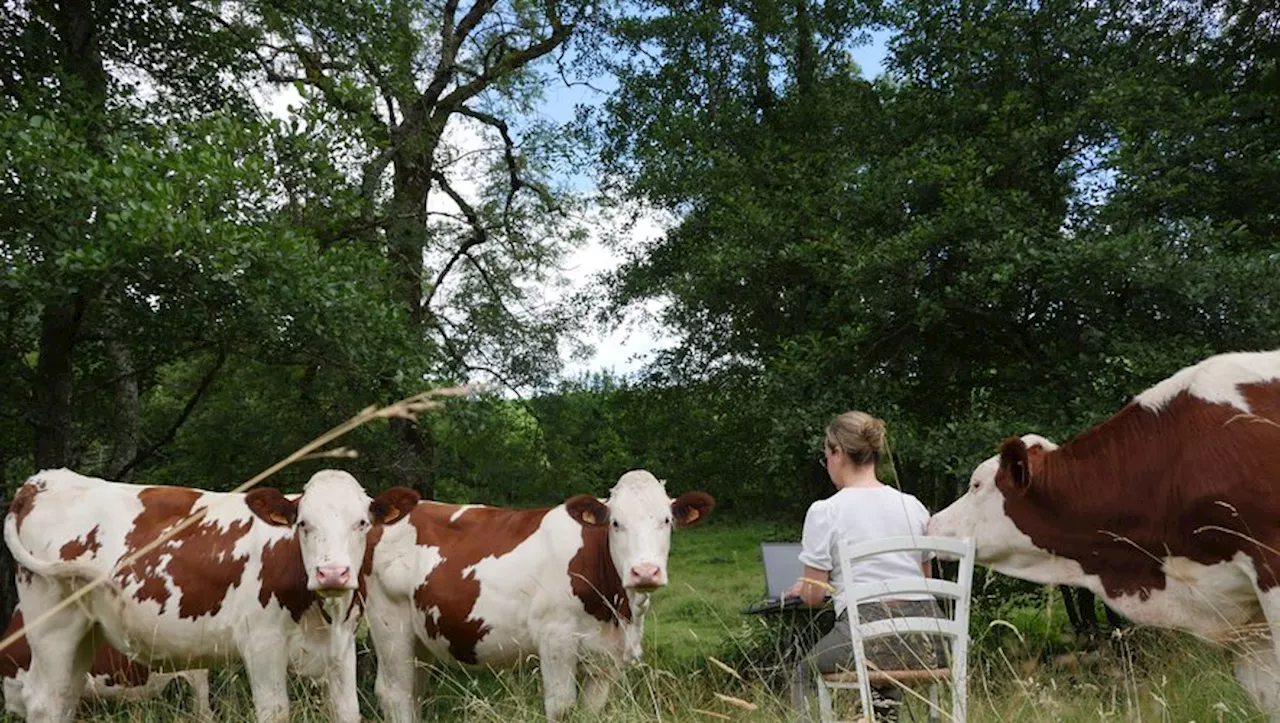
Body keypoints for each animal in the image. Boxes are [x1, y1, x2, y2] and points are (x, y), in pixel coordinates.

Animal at [366, 470, 716, 716]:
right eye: (616, 523)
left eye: (666, 520)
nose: (645, 572)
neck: (618, 611)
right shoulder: (555, 641)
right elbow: (561, 708)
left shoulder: (605, 660)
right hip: (389, 625)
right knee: (395, 695)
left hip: (419, 639)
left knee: (414, 692)